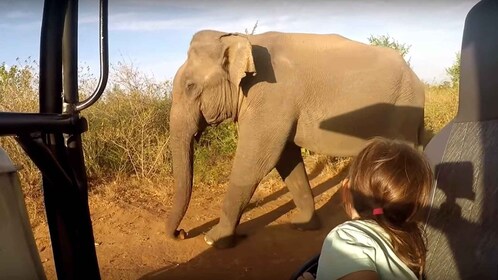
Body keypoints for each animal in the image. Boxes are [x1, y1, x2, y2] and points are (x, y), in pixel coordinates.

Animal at [167, 30, 424, 248]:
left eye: (190, 86)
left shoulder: (271, 97)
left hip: (404, 110)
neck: (243, 41)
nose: (182, 233)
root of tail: (416, 77)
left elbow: (256, 161)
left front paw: (214, 240)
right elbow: (286, 158)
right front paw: (303, 225)